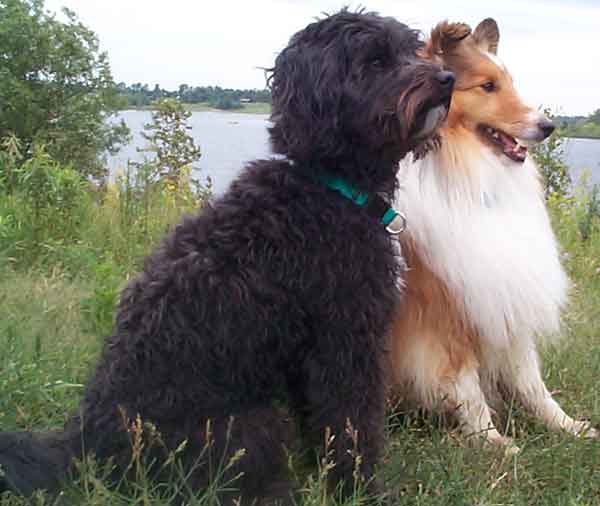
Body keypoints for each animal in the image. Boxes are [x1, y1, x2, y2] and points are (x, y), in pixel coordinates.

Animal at [0, 8, 450, 506]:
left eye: (410, 49)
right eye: (374, 61)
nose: (447, 78)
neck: (327, 187)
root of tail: (82, 446)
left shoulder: (308, 359)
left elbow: (324, 429)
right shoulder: (345, 340)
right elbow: (352, 426)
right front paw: (359, 491)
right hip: (249, 425)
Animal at [392, 18, 596, 450]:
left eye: (510, 82)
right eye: (487, 86)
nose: (548, 126)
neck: (468, 175)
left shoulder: (501, 297)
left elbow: (532, 381)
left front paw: (569, 427)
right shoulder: (443, 316)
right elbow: (466, 386)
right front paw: (495, 443)